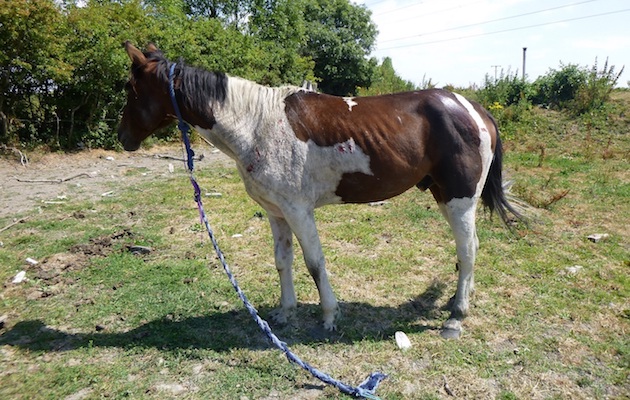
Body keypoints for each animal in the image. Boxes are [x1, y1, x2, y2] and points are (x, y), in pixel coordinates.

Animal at [118, 42, 522, 339]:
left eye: (129, 89)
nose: (122, 139)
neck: (255, 124)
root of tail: (475, 108)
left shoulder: (299, 210)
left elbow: (315, 263)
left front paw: (329, 316)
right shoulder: (277, 211)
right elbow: (283, 261)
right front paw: (285, 314)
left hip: (460, 199)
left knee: (468, 250)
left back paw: (456, 316)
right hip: (442, 193)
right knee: (466, 250)